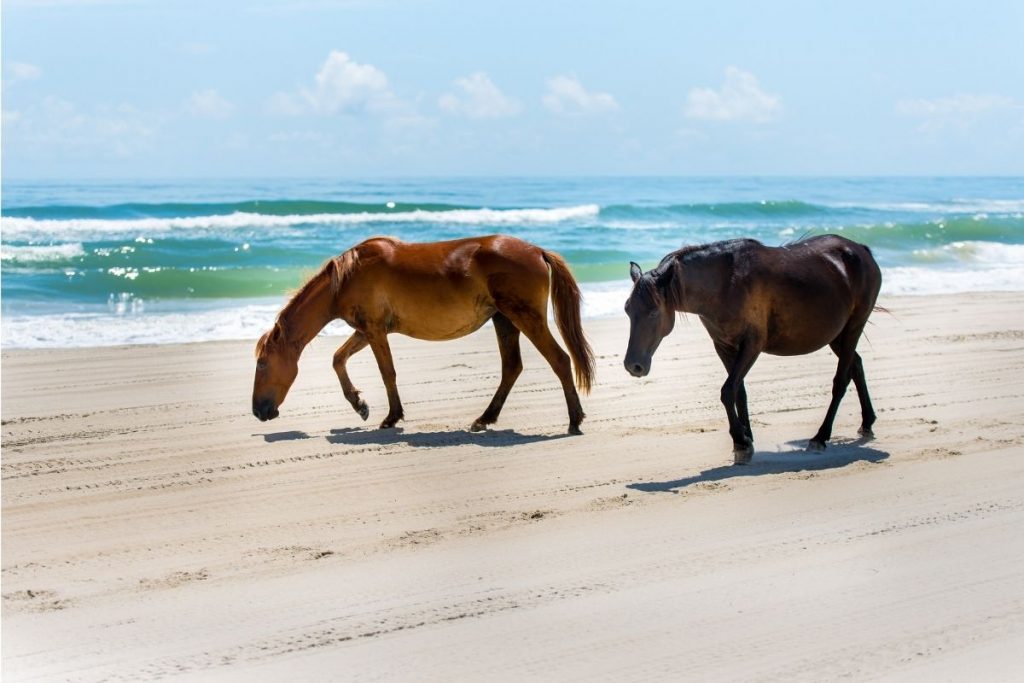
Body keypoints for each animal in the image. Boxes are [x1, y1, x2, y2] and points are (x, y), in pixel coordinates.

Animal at [250, 235, 598, 436]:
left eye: (262, 364)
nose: (258, 411)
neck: (347, 276)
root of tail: (538, 251)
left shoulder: (374, 330)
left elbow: (387, 372)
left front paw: (391, 417)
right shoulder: (366, 330)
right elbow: (338, 359)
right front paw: (359, 404)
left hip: (524, 317)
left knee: (559, 360)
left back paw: (574, 420)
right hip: (505, 320)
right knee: (512, 368)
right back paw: (485, 419)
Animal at [618, 235, 884, 464]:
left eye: (654, 312)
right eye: (628, 309)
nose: (634, 365)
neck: (725, 284)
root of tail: (861, 250)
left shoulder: (752, 345)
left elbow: (727, 391)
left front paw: (741, 441)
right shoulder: (724, 346)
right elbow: (739, 392)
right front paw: (746, 437)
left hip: (853, 327)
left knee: (841, 380)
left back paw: (820, 437)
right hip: (835, 335)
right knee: (856, 365)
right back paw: (867, 422)